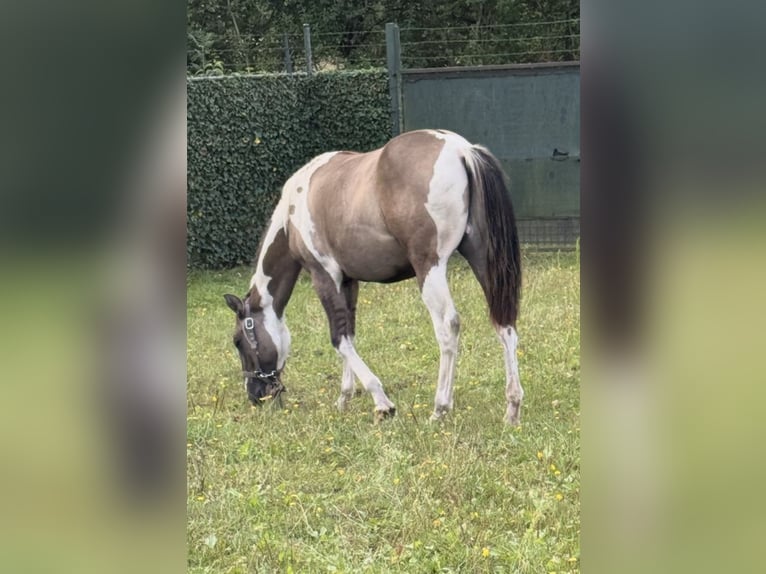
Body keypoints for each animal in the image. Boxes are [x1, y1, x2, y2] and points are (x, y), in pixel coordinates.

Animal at [224, 129, 523, 424]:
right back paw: (512, 408)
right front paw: (344, 398)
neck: (292, 212)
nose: (255, 395)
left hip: (430, 268)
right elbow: (349, 333)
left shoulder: (324, 276)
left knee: (448, 327)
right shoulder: (347, 281)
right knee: (504, 325)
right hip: (483, 260)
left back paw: (440, 408)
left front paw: (382, 403)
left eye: (238, 341)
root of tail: (461, 149)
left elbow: (339, 339)